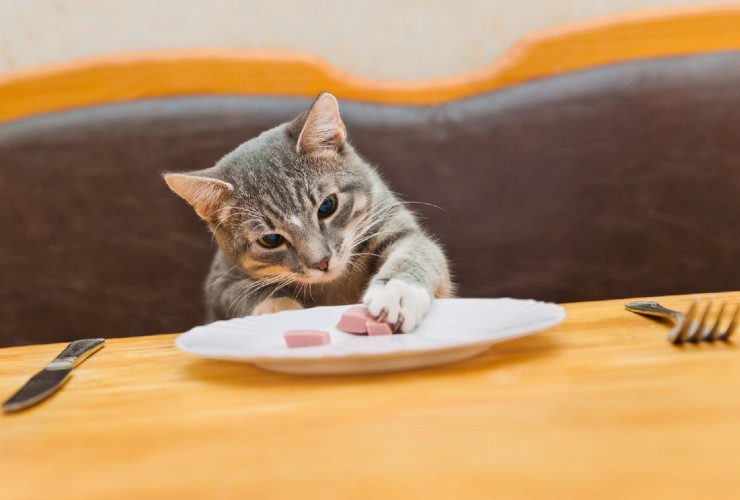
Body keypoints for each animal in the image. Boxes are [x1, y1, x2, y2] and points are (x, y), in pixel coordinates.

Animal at [165, 93, 454, 332]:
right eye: (270, 239)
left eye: (327, 206)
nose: (321, 262)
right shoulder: (222, 282)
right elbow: (247, 295)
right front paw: (284, 311)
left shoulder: (392, 224)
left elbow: (417, 251)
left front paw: (397, 294)